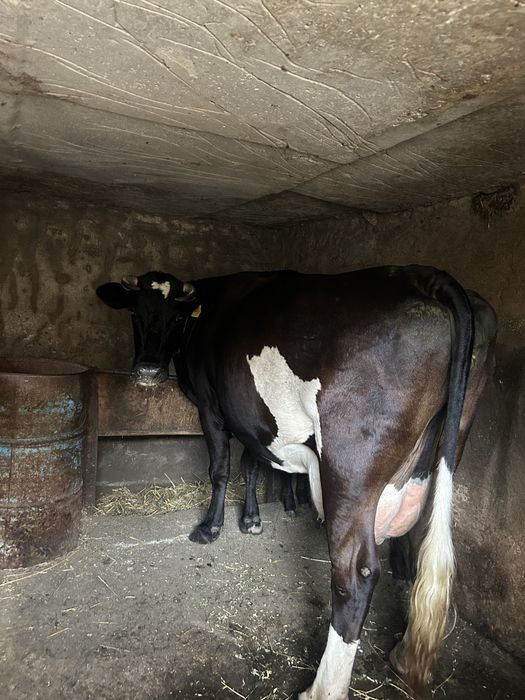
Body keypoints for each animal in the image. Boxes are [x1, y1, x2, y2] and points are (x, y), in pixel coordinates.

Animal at [96, 266, 496, 699]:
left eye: (176, 317)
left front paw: (211, 527)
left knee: (354, 575)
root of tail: (423, 276)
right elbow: (253, 463)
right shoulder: (251, 415)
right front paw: (251, 519)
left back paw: (322, 688)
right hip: (441, 447)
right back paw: (404, 654)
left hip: (349, 470)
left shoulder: (212, 407)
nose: (148, 369)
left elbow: (222, 466)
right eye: (134, 312)